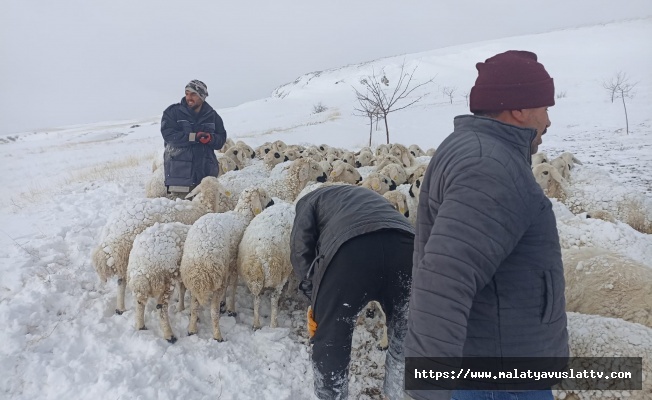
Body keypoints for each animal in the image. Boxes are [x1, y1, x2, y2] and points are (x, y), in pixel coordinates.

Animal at [90, 177, 233, 314]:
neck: (203, 206)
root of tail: (116, 225)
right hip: (127, 254)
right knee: (123, 282)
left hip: (124, 257)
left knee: (120, 281)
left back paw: (120, 308)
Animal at [180, 188, 274, 340]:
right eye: (264, 195)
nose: (272, 202)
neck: (242, 216)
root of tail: (199, 267)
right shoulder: (234, 264)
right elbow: (233, 286)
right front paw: (231, 308)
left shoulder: (227, 267)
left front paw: (225, 302)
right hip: (215, 278)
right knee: (213, 310)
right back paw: (217, 335)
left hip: (194, 282)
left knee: (194, 306)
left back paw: (192, 329)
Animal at [237, 202, 296, 330]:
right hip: (278, 276)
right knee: (274, 299)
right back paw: (273, 325)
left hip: (255, 280)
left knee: (256, 299)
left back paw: (256, 324)